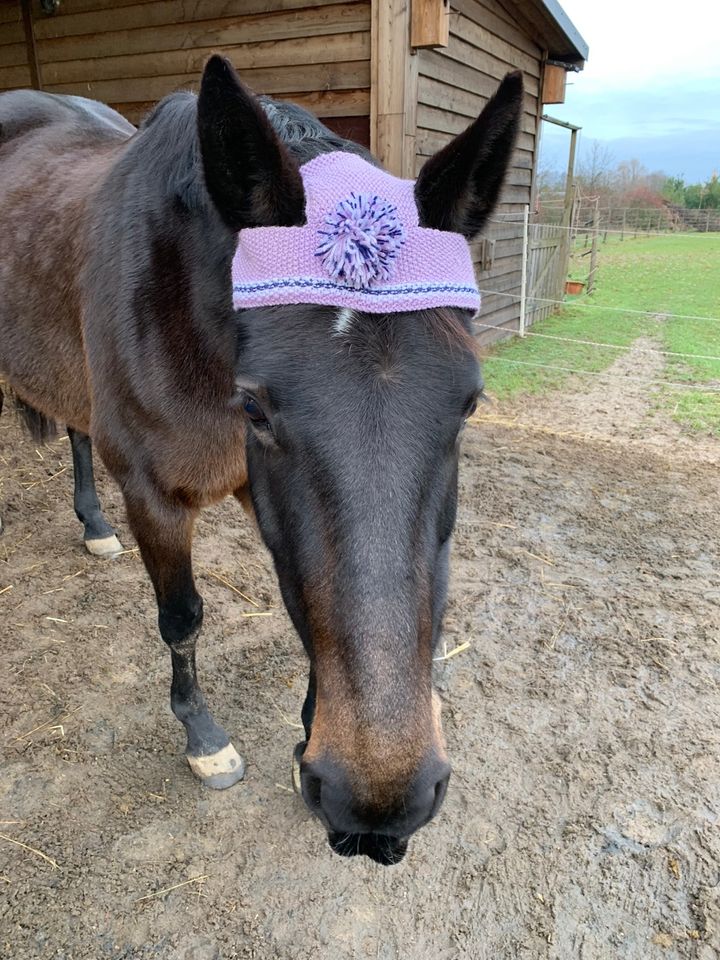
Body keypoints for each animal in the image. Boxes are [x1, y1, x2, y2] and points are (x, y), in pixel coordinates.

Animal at [0, 56, 520, 868]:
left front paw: (310, 734)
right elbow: (182, 618)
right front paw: (204, 738)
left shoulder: (260, 494)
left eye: (470, 402)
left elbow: (311, 605)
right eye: (254, 407)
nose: (379, 805)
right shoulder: (152, 492)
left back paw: (92, 526)